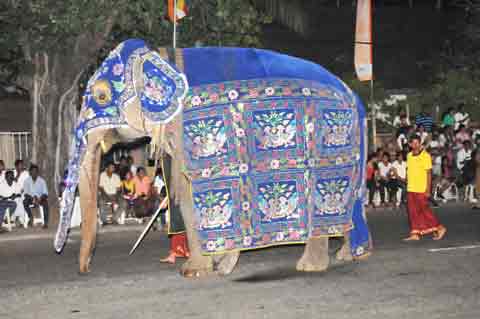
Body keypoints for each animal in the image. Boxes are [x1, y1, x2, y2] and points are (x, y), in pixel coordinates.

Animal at [55, 38, 372, 276]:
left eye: (102, 96)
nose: (85, 268)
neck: (162, 59)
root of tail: (353, 94)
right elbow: (185, 192)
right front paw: (199, 269)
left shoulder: (193, 129)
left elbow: (197, 190)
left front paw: (215, 267)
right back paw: (351, 254)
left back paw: (311, 266)